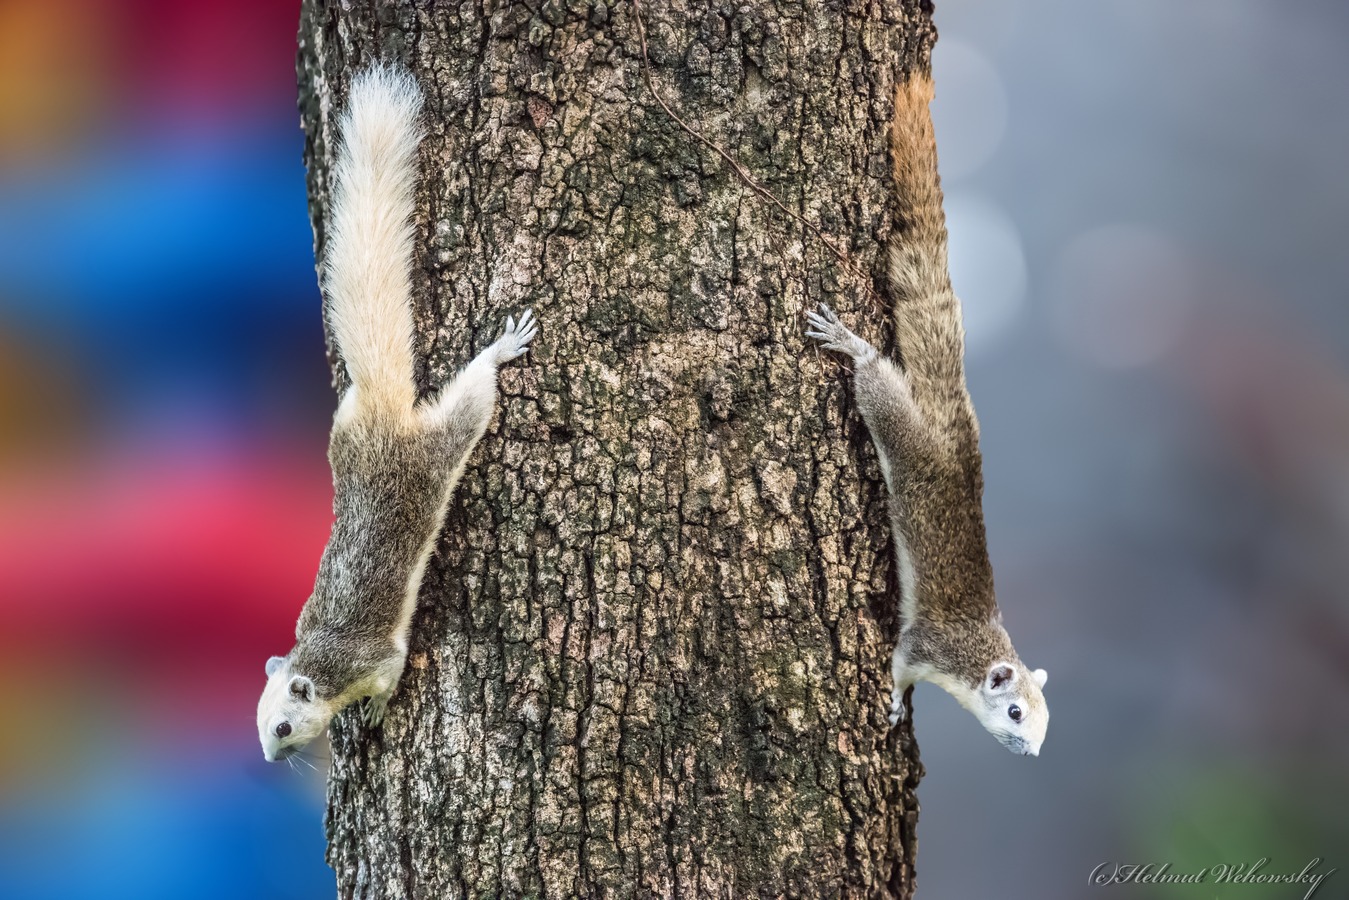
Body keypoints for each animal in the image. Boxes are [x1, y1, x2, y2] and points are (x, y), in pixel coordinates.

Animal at [257, 63, 536, 766]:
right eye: (257, 721)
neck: (320, 661)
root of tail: (382, 406)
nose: (270, 760)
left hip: (440, 447)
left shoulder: (375, 661)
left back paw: (501, 349)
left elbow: (390, 675)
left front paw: (379, 710)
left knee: (474, 397)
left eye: (283, 727)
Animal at [804, 72, 1046, 761]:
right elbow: (900, 662)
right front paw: (892, 700)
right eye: (1014, 711)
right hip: (907, 442)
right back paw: (854, 348)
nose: (1032, 753)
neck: (979, 655)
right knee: (881, 393)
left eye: (1047, 722)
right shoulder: (928, 646)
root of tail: (950, 430)